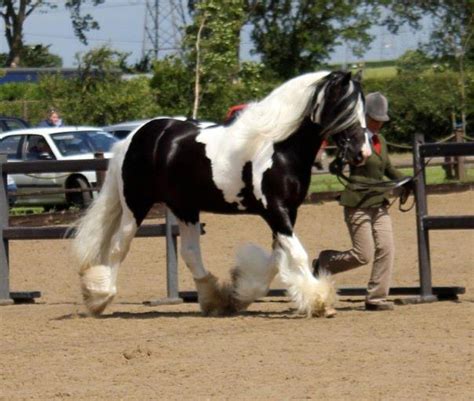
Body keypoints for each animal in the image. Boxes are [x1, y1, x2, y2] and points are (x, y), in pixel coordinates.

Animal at [73, 70, 370, 318]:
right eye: (343, 107)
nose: (362, 152)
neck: (277, 147)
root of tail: (133, 137)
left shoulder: (288, 211)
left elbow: (276, 258)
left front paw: (242, 294)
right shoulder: (275, 210)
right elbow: (296, 254)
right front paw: (320, 301)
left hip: (185, 208)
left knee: (190, 253)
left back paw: (215, 300)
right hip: (136, 205)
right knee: (118, 247)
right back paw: (99, 298)